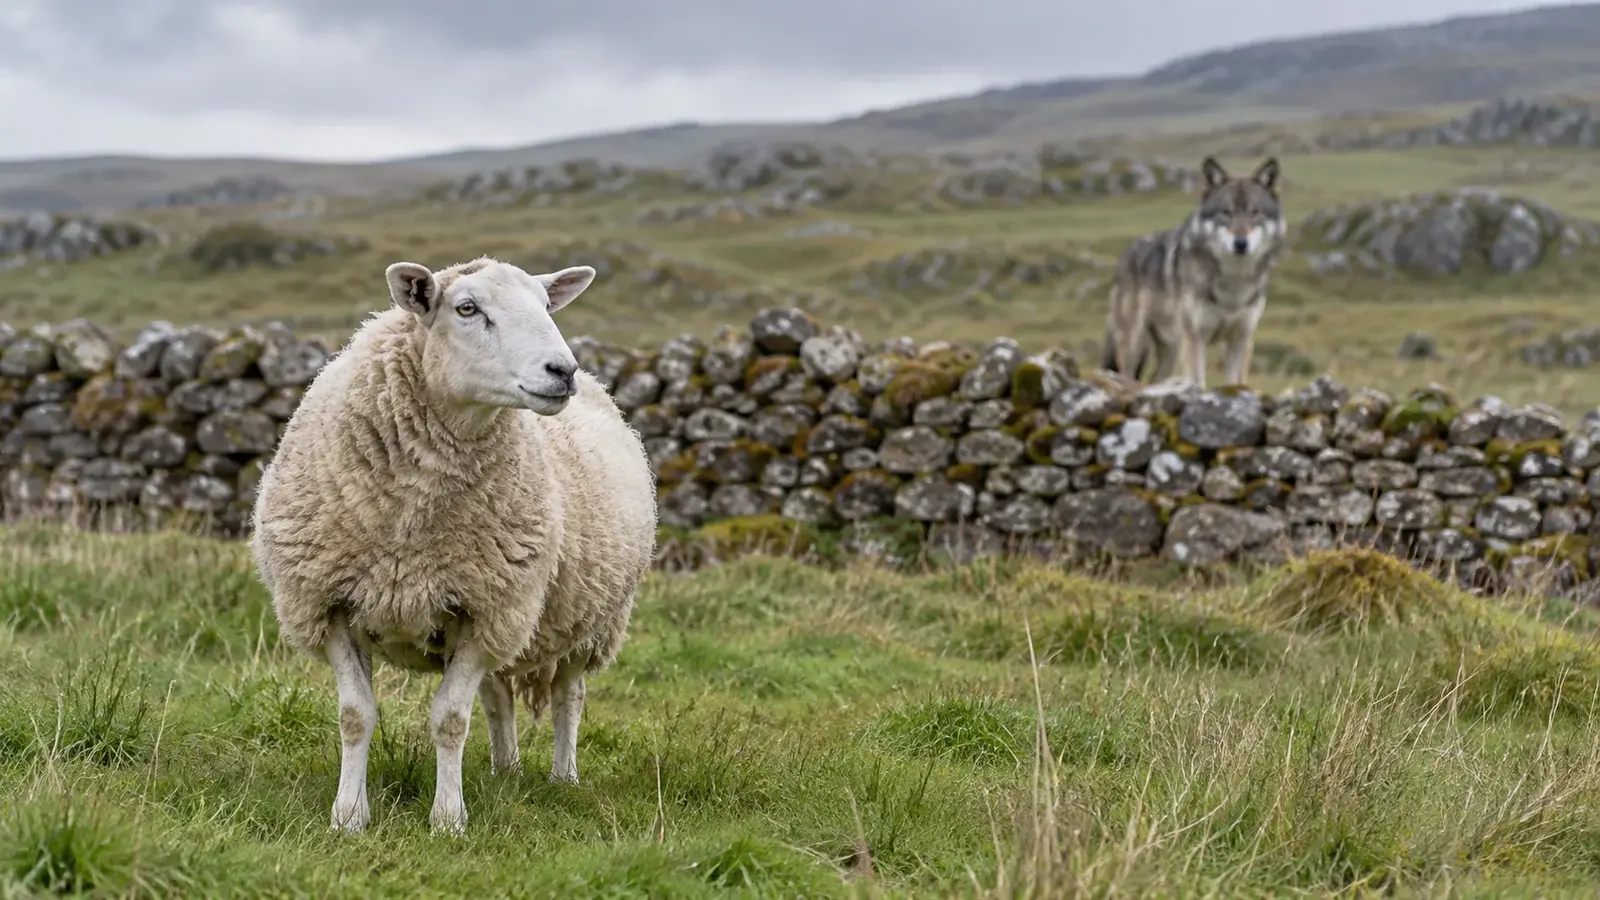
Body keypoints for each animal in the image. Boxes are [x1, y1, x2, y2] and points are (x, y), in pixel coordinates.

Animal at [249, 256, 658, 835]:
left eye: (546, 305)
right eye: (467, 308)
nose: (564, 371)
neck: (410, 521)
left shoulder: (487, 610)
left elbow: (450, 719)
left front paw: (447, 818)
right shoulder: (331, 605)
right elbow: (355, 717)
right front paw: (348, 815)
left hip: (589, 619)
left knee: (567, 695)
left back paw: (563, 777)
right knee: (499, 697)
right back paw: (506, 770)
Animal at [1102, 156, 1285, 388]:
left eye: (1255, 213)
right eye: (1226, 213)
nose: (1241, 244)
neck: (1233, 284)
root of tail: (1125, 254)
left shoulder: (1241, 338)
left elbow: (1235, 382)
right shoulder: (1195, 338)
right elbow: (1198, 382)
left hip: (1171, 350)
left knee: (1155, 379)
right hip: (1135, 345)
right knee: (1126, 374)